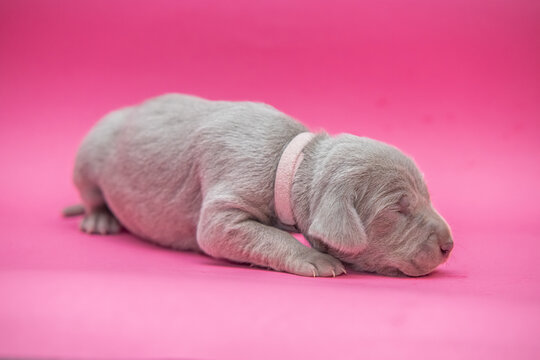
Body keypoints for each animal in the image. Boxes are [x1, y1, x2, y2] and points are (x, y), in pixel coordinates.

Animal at [66, 93, 456, 278]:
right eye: (398, 210)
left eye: (426, 197)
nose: (450, 246)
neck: (291, 160)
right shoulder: (227, 202)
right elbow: (255, 235)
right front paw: (316, 259)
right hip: (89, 154)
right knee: (92, 195)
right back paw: (100, 219)